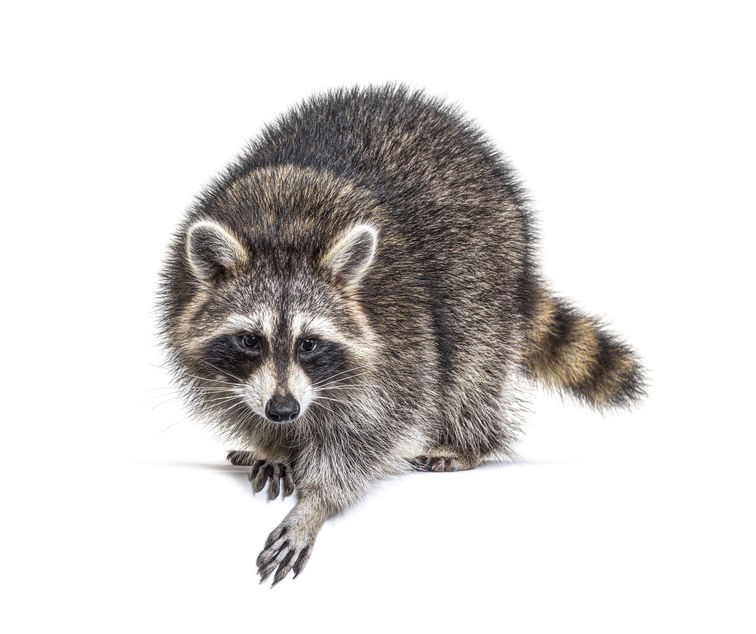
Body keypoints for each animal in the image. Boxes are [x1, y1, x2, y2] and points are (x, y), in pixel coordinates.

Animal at [158, 85, 645, 586]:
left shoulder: (400, 332)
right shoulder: (192, 321)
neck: (282, 229)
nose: (283, 411)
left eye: (309, 343)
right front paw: (271, 443)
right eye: (250, 340)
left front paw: (316, 501)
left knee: (472, 364)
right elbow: (238, 400)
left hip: (485, 271)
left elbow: (375, 430)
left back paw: (470, 442)